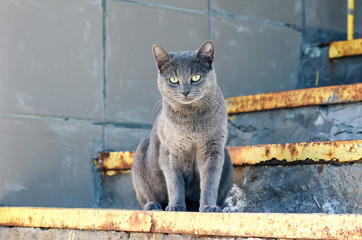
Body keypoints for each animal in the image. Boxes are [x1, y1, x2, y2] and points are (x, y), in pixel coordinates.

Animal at [132, 40, 232, 212]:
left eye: (196, 77)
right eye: (173, 80)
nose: (185, 91)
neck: (191, 122)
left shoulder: (214, 149)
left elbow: (210, 182)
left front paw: (209, 206)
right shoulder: (170, 151)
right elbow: (175, 183)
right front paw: (175, 206)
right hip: (140, 158)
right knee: (145, 197)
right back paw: (153, 205)